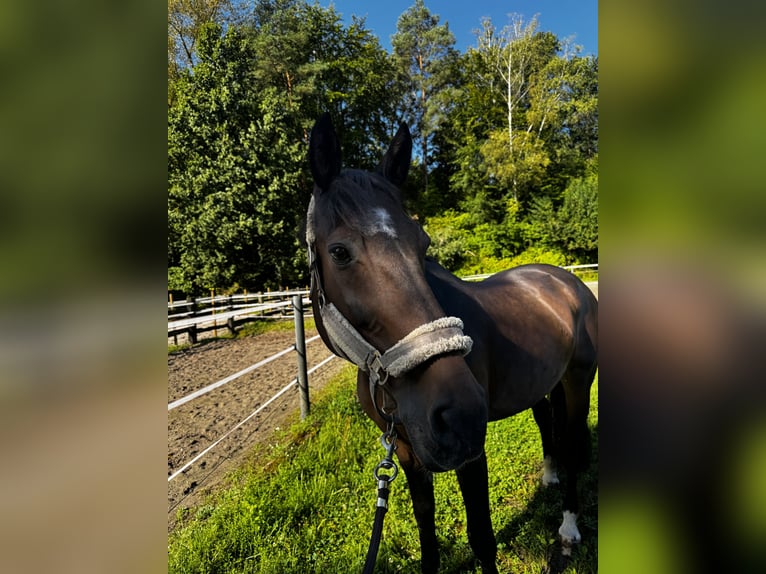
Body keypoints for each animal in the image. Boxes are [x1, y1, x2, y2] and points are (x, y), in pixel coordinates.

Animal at [306, 113, 600, 574]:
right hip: (545, 384)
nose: (459, 413)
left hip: (577, 383)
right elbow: (425, 525)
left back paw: (569, 526)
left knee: (572, 444)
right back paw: (549, 476)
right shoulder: (406, 450)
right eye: (339, 252)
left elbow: (481, 536)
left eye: (423, 243)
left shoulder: (470, 454)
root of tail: (568, 281)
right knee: (545, 423)